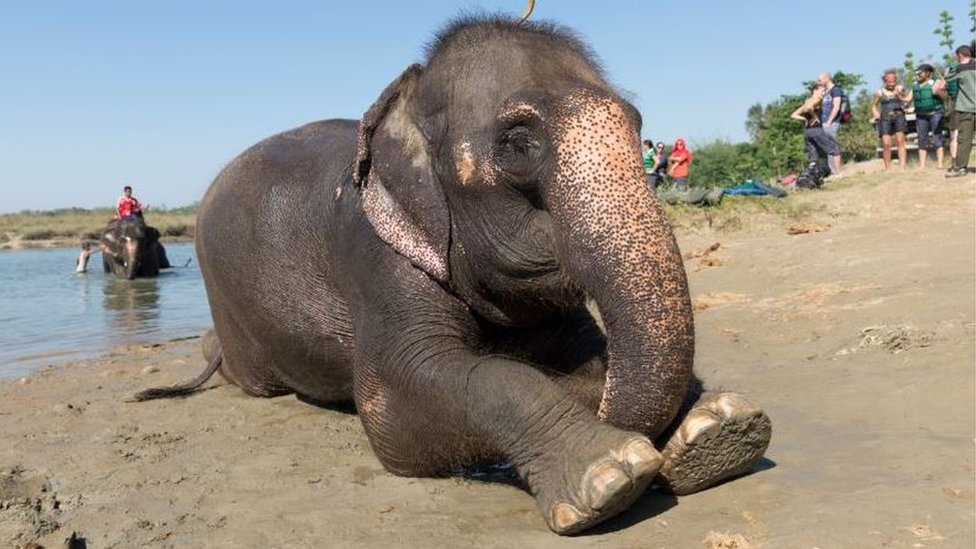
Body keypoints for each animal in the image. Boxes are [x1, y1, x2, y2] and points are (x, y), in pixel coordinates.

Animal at [139, 17, 772, 536]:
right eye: (518, 143)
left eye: (639, 126)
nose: (638, 433)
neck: (406, 98)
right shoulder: (377, 258)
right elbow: (399, 401)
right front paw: (610, 472)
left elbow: (581, 357)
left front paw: (718, 432)